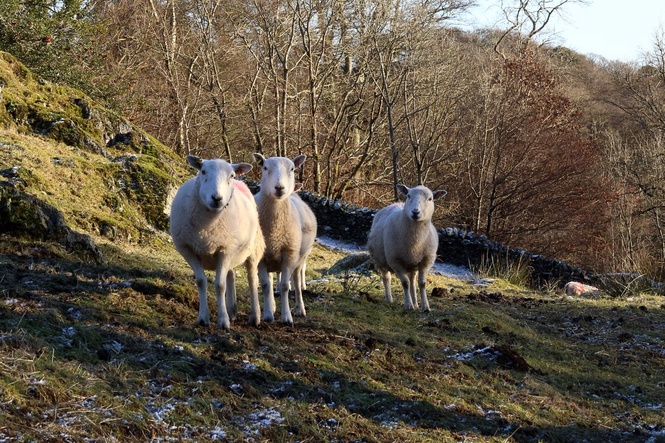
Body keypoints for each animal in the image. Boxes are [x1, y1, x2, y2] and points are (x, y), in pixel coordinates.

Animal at [169, 155, 265, 330]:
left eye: (231, 176)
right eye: (203, 171)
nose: (217, 198)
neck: (206, 229)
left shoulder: (225, 250)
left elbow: (220, 285)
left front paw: (223, 321)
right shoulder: (188, 249)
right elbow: (201, 282)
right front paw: (203, 318)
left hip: (252, 249)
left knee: (252, 280)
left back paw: (255, 317)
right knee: (231, 273)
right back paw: (232, 310)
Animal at [253, 153, 317, 325]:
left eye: (292, 169)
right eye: (265, 167)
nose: (279, 188)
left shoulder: (289, 254)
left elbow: (285, 286)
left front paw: (287, 317)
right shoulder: (261, 256)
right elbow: (265, 285)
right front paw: (268, 314)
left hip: (299, 258)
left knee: (296, 280)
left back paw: (300, 308)